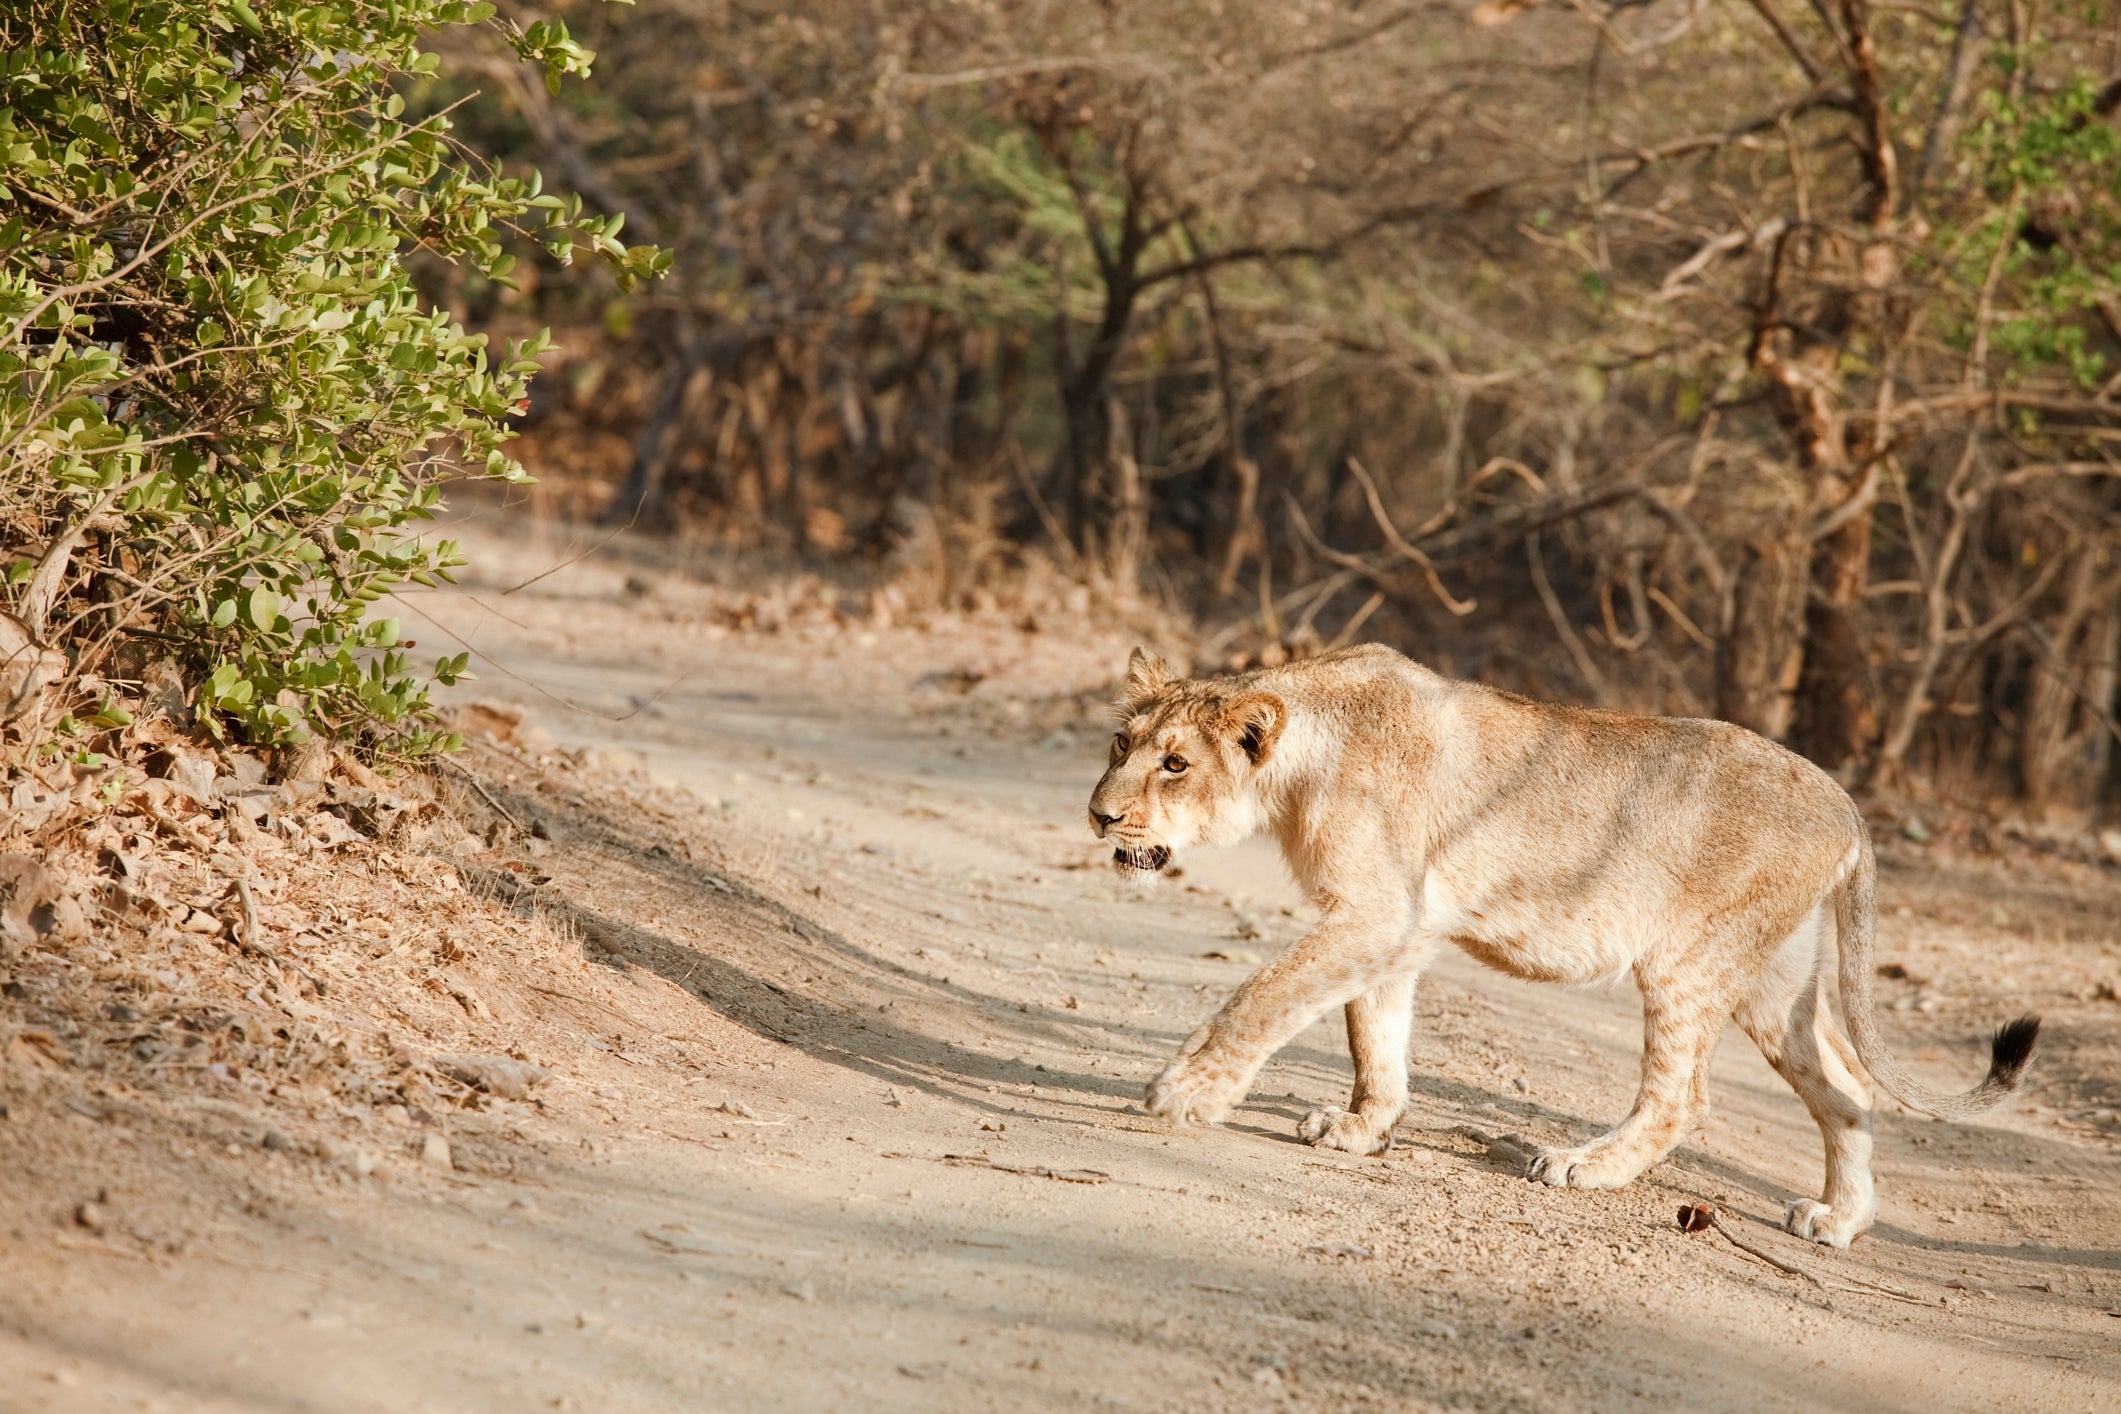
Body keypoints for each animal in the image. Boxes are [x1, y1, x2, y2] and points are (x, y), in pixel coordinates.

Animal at [1086, 644, 2038, 1247]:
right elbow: (1371, 1035)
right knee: (1844, 1089)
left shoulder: (1372, 914)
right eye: (1120, 743)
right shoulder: (1399, 928)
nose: (1098, 813)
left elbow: (1262, 998)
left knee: (1683, 1096)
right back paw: (1838, 1221)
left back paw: (1583, 1165)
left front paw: (1184, 1094)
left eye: (1175, 765)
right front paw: (1362, 1128)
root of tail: (1846, 803)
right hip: (1774, 979)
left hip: (1688, 962)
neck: (1300, 760)